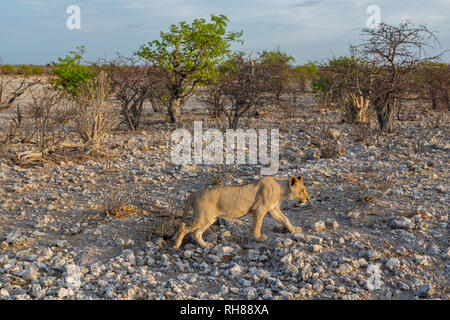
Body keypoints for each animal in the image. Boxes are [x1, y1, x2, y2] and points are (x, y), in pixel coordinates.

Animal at [174, 176, 312, 249]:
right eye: (303, 190)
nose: (308, 199)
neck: (281, 189)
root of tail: (195, 193)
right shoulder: (259, 209)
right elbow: (257, 225)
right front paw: (258, 238)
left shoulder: (273, 209)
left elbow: (285, 219)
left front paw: (294, 230)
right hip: (202, 217)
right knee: (184, 228)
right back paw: (176, 246)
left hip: (209, 219)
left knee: (196, 232)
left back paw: (205, 245)